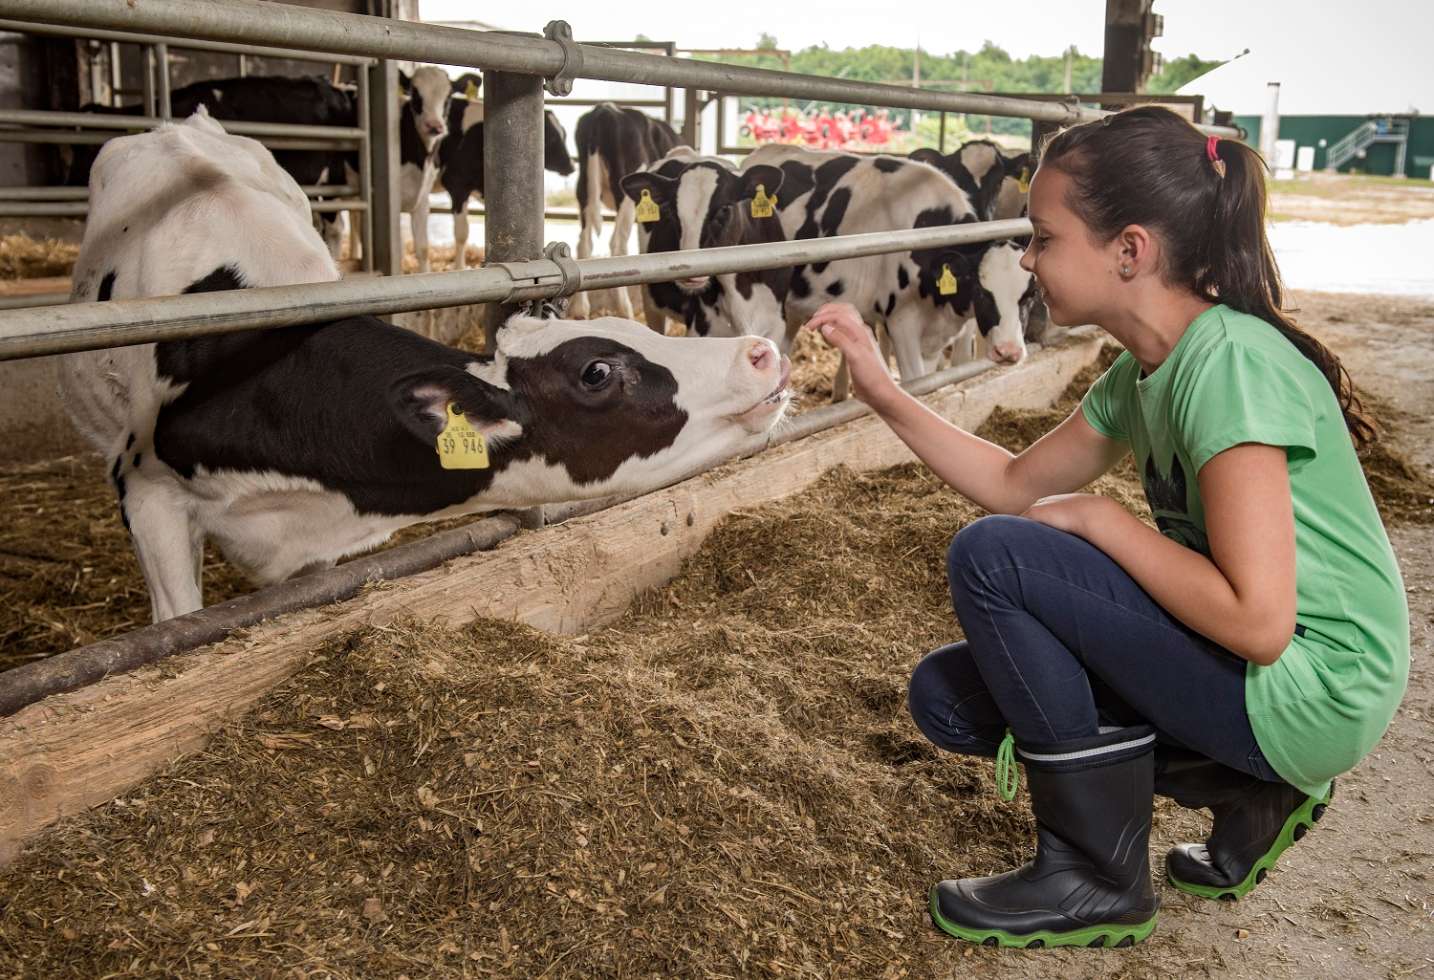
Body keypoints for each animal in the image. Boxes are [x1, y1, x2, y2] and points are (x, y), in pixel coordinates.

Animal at [570, 103, 682, 318]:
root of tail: (605, 110)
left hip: (584, 189)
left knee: (584, 243)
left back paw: (580, 310)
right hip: (626, 196)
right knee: (618, 245)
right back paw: (624, 309)